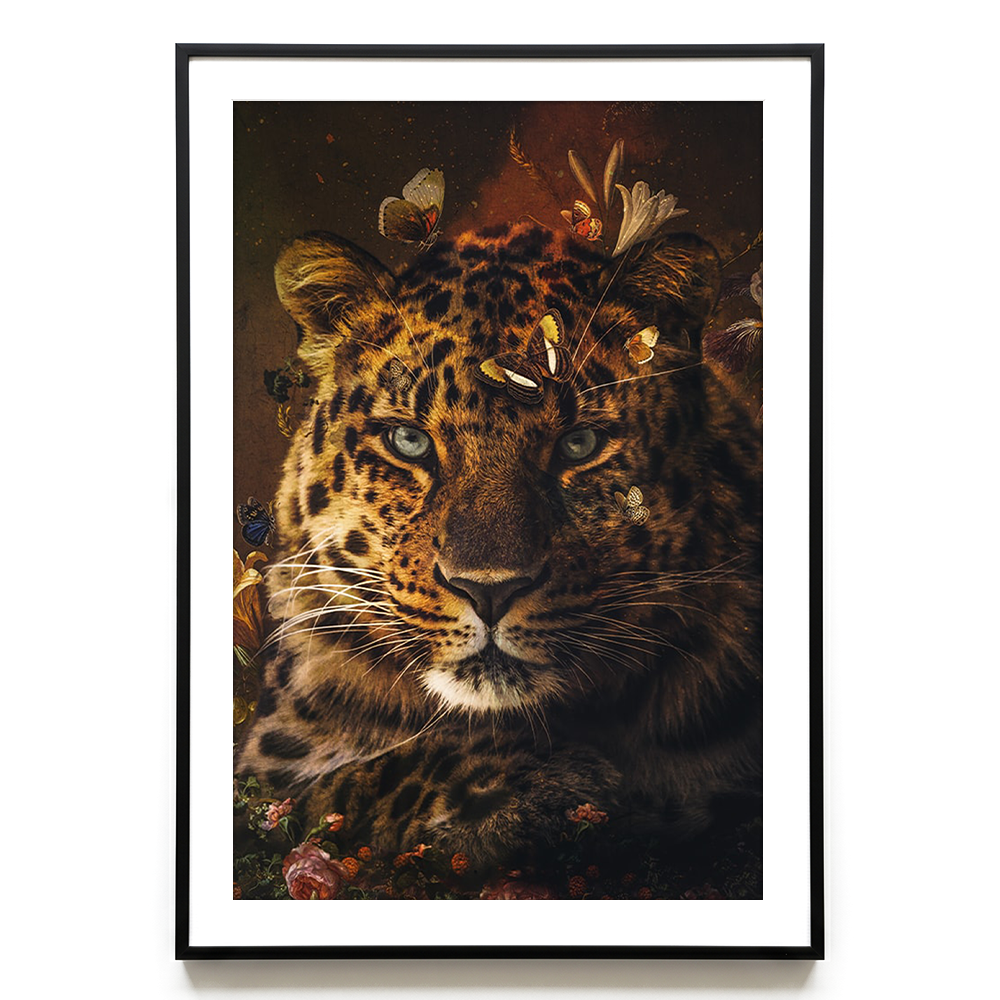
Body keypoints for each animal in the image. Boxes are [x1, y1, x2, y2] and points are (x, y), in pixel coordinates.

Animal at [236, 221, 762, 870]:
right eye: (409, 441)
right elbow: (334, 791)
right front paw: (545, 789)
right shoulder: (266, 770)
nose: (489, 591)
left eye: (580, 444)